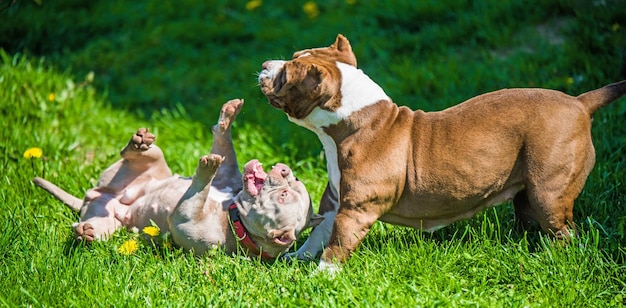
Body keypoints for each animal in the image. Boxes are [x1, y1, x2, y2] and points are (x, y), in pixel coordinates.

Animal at [33, 98, 322, 258]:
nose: (284, 170)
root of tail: (95, 197)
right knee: (136, 154)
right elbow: (225, 148)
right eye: (294, 182)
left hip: (111, 224)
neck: (234, 214)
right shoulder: (229, 175)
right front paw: (228, 118)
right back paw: (139, 143)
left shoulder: (185, 220)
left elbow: (196, 194)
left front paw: (206, 168)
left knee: (97, 227)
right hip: (148, 162)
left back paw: (87, 231)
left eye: (283, 196)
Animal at [258, 32, 624, 270]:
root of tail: (580, 102)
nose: (264, 63)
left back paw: (556, 258)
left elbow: (337, 243)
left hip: (549, 190)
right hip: (528, 193)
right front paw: (297, 259)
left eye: (286, 73)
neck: (353, 120)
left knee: (564, 231)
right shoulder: (336, 203)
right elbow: (317, 236)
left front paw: (324, 275)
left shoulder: (355, 209)